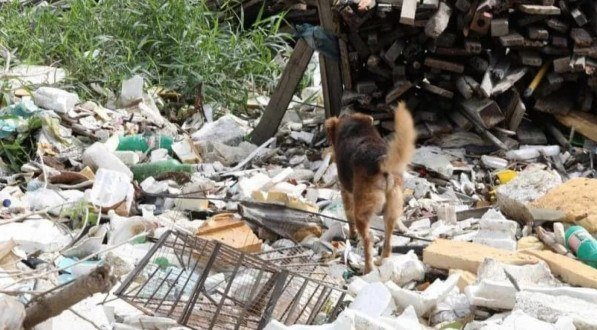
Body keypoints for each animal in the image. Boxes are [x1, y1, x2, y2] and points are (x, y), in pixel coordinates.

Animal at [326, 102, 414, 274]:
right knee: (388, 239)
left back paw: (368, 267)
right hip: (392, 206)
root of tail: (381, 161)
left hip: (362, 211)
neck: (355, 127)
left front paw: (352, 235)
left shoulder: (345, 191)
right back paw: (382, 260)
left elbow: (348, 215)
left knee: (368, 239)